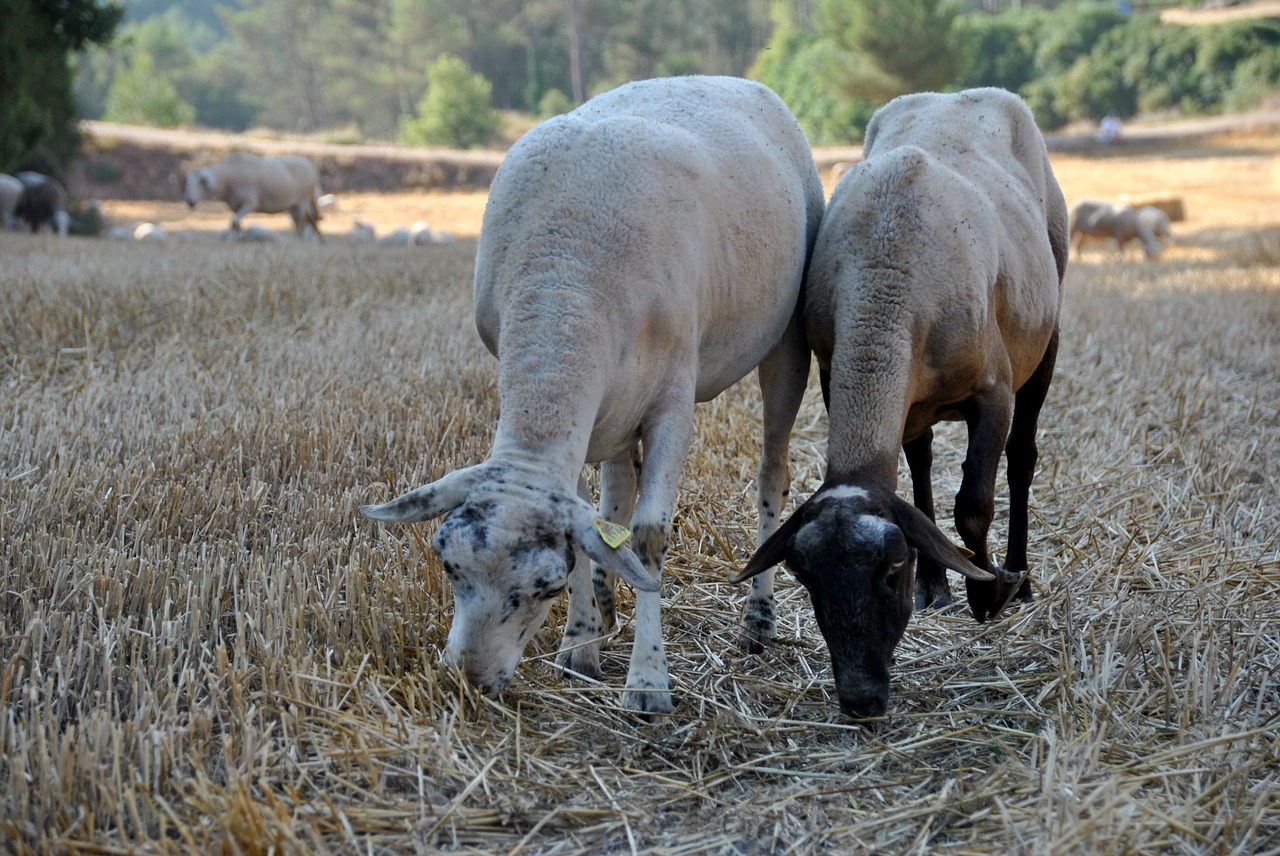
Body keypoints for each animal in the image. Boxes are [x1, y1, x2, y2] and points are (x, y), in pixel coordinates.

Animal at [185, 152, 325, 236]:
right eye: (188, 182)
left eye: (202, 181)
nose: (189, 200)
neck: (228, 178)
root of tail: (313, 168)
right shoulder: (236, 206)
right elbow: (235, 221)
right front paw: (238, 235)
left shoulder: (251, 203)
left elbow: (234, 220)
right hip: (294, 205)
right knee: (308, 220)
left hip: (303, 201)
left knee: (302, 222)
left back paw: (300, 239)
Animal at [360, 75, 824, 716]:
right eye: (448, 565)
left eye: (545, 587)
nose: (471, 681)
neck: (564, 284)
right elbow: (593, 525)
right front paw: (580, 644)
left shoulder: (672, 405)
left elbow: (650, 537)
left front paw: (648, 680)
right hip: (618, 403)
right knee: (615, 496)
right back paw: (606, 609)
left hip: (786, 342)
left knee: (771, 475)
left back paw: (757, 619)